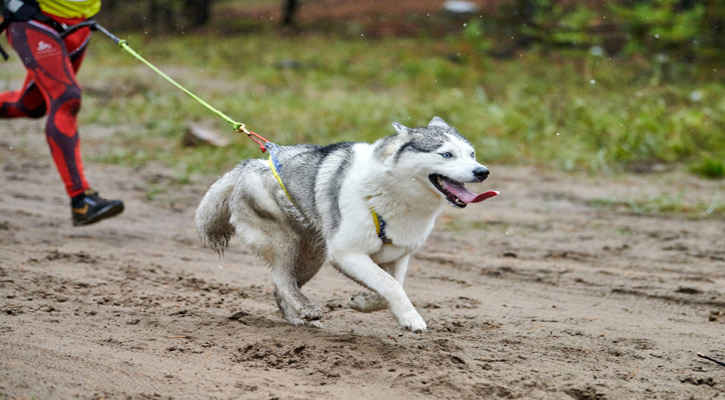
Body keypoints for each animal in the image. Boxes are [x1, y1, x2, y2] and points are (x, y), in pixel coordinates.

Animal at [195, 117, 494, 332]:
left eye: (472, 154)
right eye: (446, 155)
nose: (483, 171)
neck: (389, 193)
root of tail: (249, 164)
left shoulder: (398, 255)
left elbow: (391, 286)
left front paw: (363, 303)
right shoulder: (346, 253)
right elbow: (390, 285)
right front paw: (412, 319)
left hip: (313, 256)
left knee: (282, 286)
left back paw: (299, 318)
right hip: (285, 241)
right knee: (281, 278)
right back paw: (307, 309)